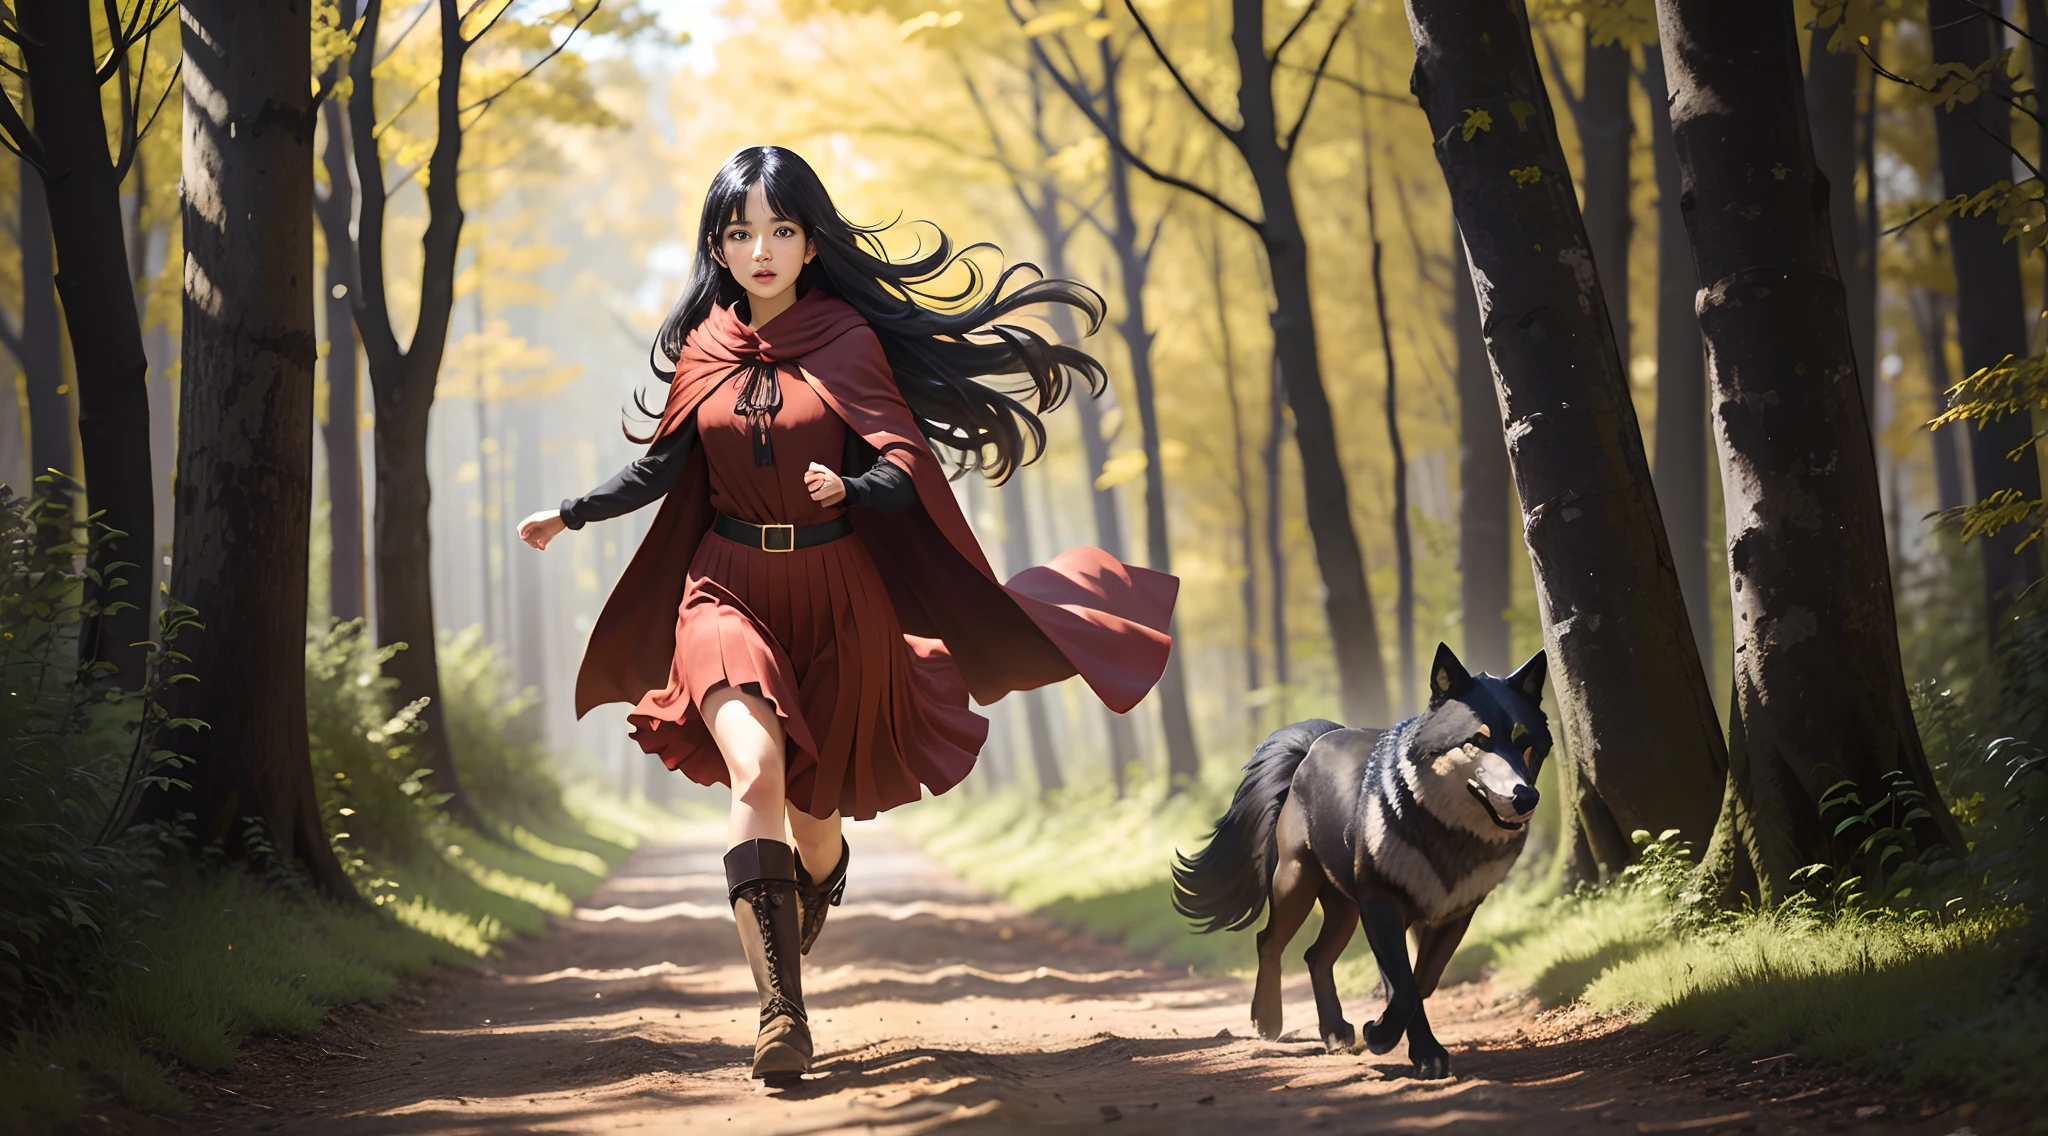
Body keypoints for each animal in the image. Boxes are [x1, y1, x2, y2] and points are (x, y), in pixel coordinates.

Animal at [1171, 642, 1548, 1080]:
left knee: (1315, 955)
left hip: (1344, 908)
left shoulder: (1455, 914)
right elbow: (1402, 983)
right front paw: (1387, 1038)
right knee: (1269, 940)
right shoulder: (1381, 902)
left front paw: (1414, 1046)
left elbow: (1421, 981)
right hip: (1297, 883)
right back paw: (1268, 1022)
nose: (1526, 797)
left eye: (1526, 743)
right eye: (1477, 740)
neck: (1446, 836)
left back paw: (1335, 1032)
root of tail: (1316, 742)